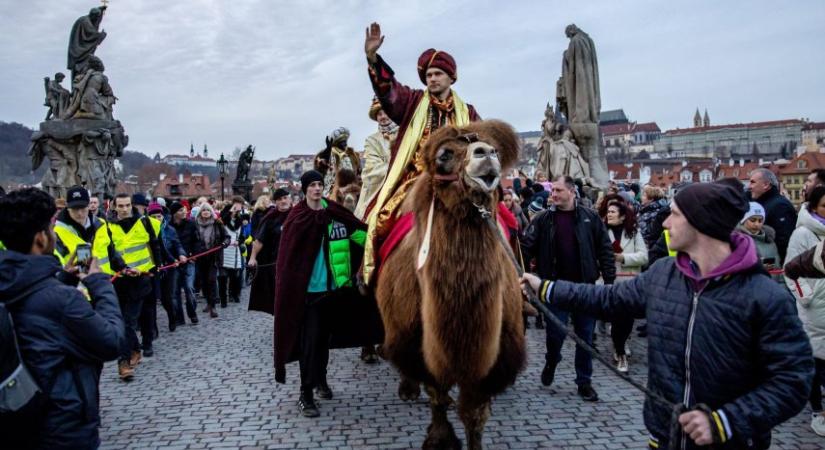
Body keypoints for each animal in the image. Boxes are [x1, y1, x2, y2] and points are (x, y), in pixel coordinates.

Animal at [376, 120, 524, 450]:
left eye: (494, 149)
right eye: (445, 155)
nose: (487, 154)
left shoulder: (492, 359)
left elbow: (474, 414)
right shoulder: (418, 346)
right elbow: (438, 396)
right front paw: (439, 439)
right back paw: (407, 388)